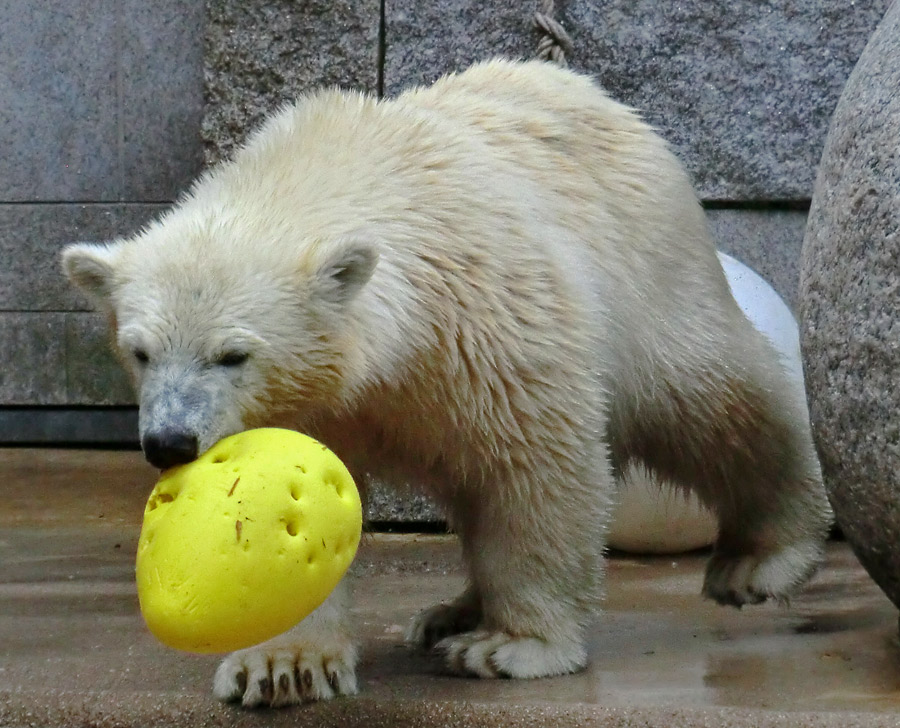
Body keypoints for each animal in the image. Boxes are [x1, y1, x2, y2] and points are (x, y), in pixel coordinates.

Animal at [61, 59, 836, 708]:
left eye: (232, 355)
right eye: (140, 352)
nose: (169, 442)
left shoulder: (483, 320)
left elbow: (536, 461)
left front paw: (512, 646)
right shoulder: (321, 400)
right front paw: (283, 665)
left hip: (652, 264)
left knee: (714, 398)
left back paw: (762, 558)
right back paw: (447, 613)